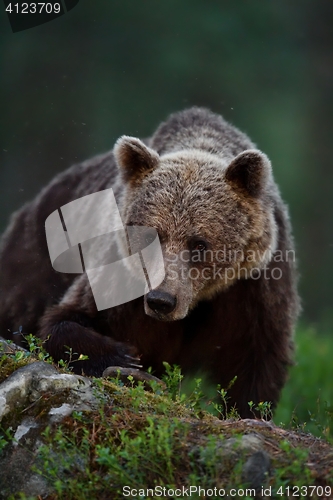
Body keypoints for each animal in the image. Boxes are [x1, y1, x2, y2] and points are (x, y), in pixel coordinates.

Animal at [0, 108, 298, 418]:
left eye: (199, 243)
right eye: (151, 235)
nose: (161, 300)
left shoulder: (252, 287)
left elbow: (256, 359)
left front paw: (249, 409)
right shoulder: (120, 275)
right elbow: (62, 321)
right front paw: (127, 357)